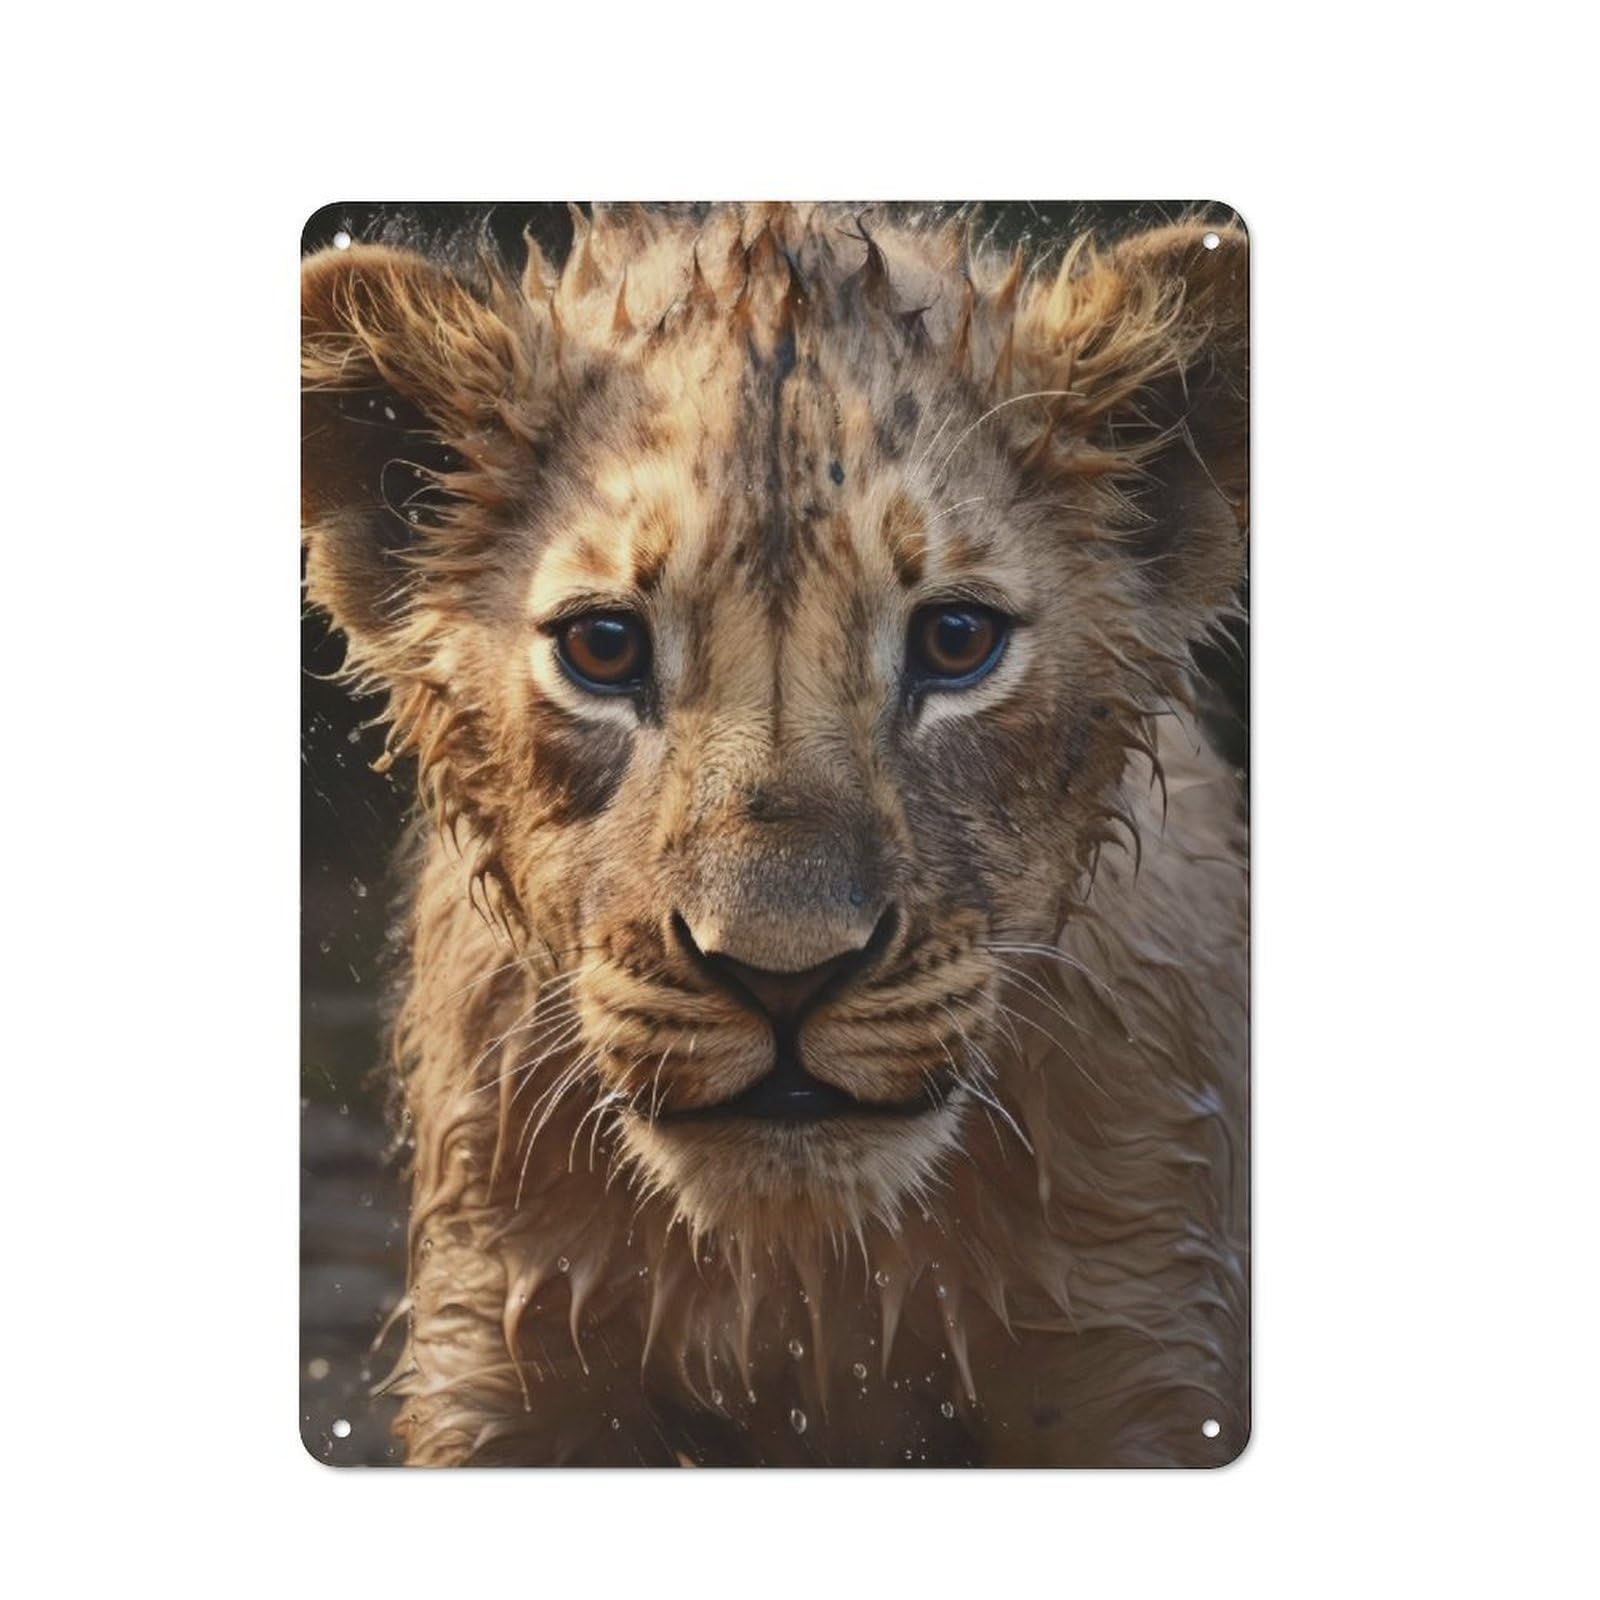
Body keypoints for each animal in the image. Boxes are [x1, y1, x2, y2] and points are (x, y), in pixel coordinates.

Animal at [301, 202, 1248, 1466]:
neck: (806, 1279)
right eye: (603, 646)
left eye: (956, 640)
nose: (782, 976)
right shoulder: (500, 1360)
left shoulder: (1135, 1344)